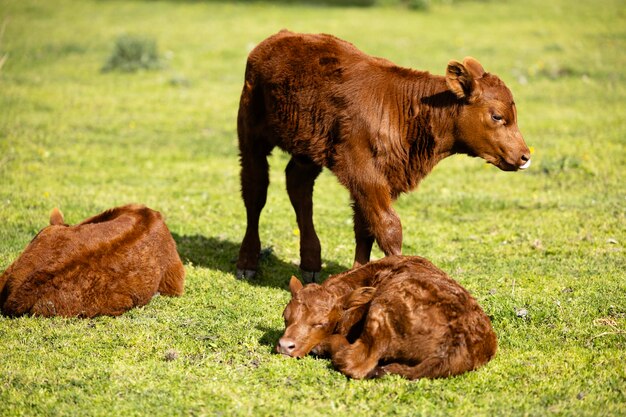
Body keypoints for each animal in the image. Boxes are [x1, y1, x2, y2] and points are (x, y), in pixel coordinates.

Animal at [236, 30, 528, 280]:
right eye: (497, 116)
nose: (526, 155)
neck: (403, 111)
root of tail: (280, 37)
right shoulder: (362, 171)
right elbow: (388, 226)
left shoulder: (383, 176)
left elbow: (365, 227)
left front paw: (358, 273)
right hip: (251, 135)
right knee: (255, 192)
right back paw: (247, 263)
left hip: (306, 148)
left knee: (298, 186)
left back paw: (310, 264)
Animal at [276, 255, 494, 378]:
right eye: (285, 317)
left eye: (321, 323)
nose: (285, 346)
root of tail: (458, 342)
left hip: (381, 312)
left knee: (354, 362)